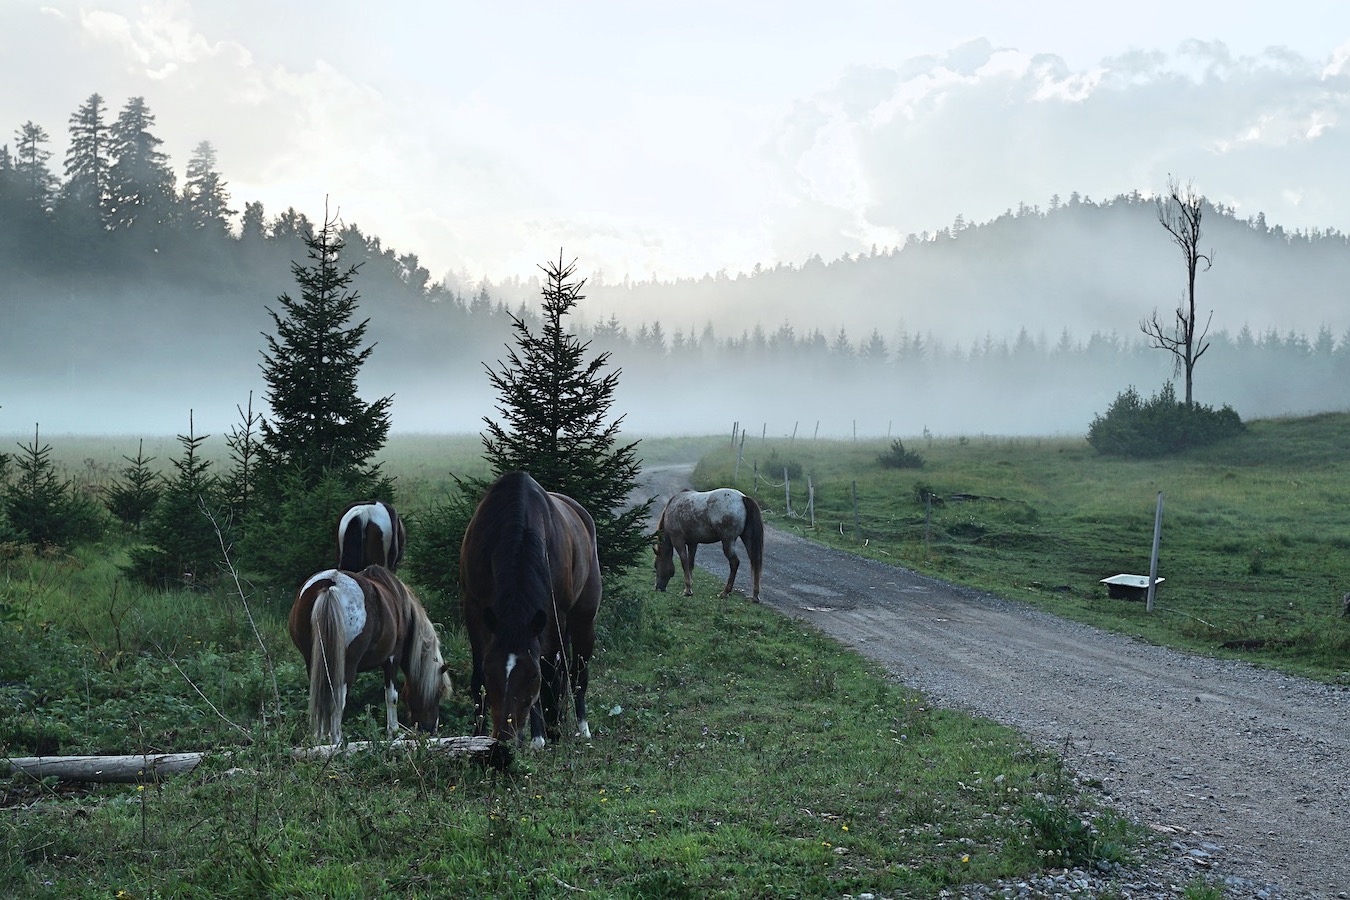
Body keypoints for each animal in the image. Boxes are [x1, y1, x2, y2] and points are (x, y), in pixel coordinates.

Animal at [287, 564, 450, 744]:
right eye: (438, 693)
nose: (430, 730)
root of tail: (330, 583)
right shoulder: (393, 658)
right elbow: (391, 696)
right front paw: (393, 732)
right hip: (346, 666)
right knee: (338, 700)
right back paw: (337, 742)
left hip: (314, 662)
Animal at [459, 469, 602, 750]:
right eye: (492, 670)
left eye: (531, 676)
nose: (504, 736)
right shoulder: (475, 609)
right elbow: (477, 677)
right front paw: (477, 734)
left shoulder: (554, 616)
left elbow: (548, 674)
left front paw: (544, 735)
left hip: (582, 618)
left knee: (576, 672)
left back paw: (580, 728)